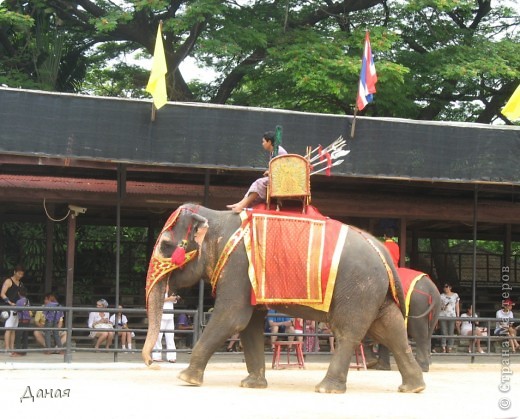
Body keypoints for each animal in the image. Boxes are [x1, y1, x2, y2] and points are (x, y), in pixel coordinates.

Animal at [142, 205, 426, 396]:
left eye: (165, 245)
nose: (150, 364)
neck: (216, 218)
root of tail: (383, 251)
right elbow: (250, 324)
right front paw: (252, 385)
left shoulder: (237, 265)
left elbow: (232, 318)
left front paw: (186, 378)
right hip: (374, 292)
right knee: (389, 328)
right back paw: (413, 387)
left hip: (358, 289)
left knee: (349, 332)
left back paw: (326, 388)